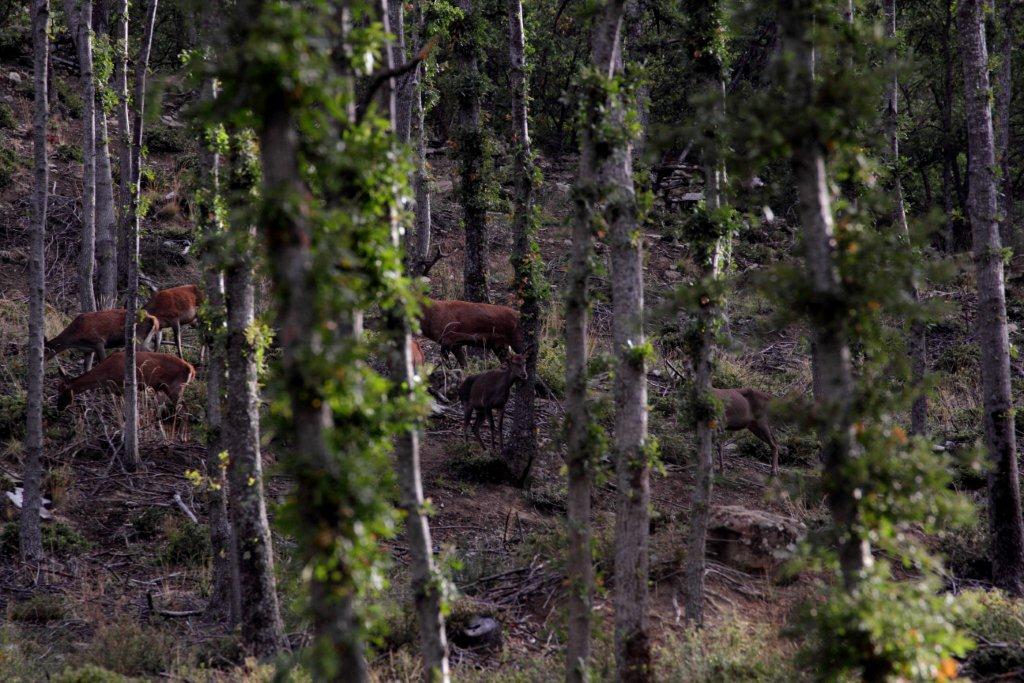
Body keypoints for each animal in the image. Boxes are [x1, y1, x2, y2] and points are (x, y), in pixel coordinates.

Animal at [57, 352, 196, 411]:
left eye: (63, 391)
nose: (59, 408)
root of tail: (191, 370)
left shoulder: (123, 386)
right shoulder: (117, 391)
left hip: (176, 388)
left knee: (185, 410)